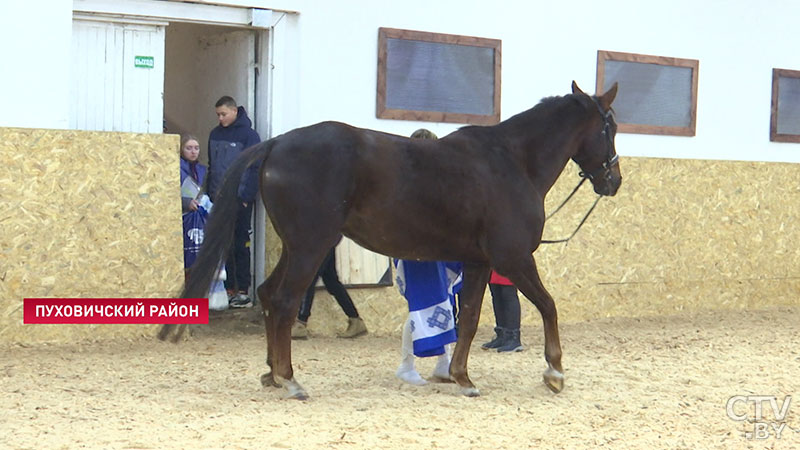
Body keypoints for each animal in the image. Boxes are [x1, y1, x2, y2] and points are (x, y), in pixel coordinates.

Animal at [162, 81, 620, 398]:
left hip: (297, 247)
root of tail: (277, 143)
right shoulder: (514, 258)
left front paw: (462, 377)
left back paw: (272, 373)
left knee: (270, 295)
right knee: (286, 300)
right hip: (310, 247)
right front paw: (555, 372)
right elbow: (548, 305)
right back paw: (290, 380)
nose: (613, 181)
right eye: (610, 126)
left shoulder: (478, 262)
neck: (511, 162)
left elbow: (470, 318)